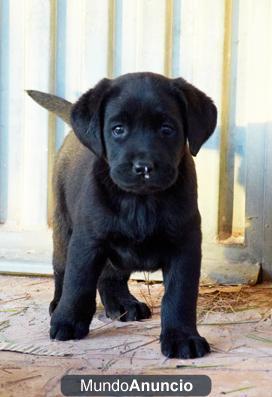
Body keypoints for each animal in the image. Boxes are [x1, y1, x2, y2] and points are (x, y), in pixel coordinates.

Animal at [27, 72, 218, 358]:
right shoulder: (87, 241)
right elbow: (78, 282)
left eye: (167, 129)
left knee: (110, 276)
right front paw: (67, 321)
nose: (144, 167)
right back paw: (58, 304)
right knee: (62, 270)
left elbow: (179, 297)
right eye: (118, 129)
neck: (140, 202)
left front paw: (182, 337)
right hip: (63, 230)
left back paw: (123, 304)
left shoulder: (185, 246)